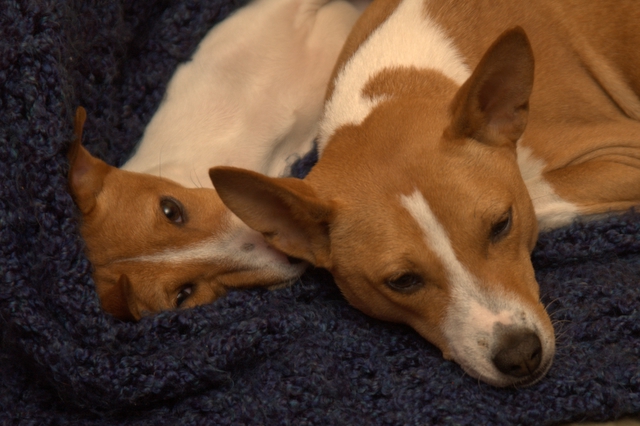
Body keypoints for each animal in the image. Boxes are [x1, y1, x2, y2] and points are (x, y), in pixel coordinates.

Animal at [209, 0, 640, 388]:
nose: (520, 355)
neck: (398, 79)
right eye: (403, 281)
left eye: (502, 224)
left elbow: (535, 194)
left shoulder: (624, 151)